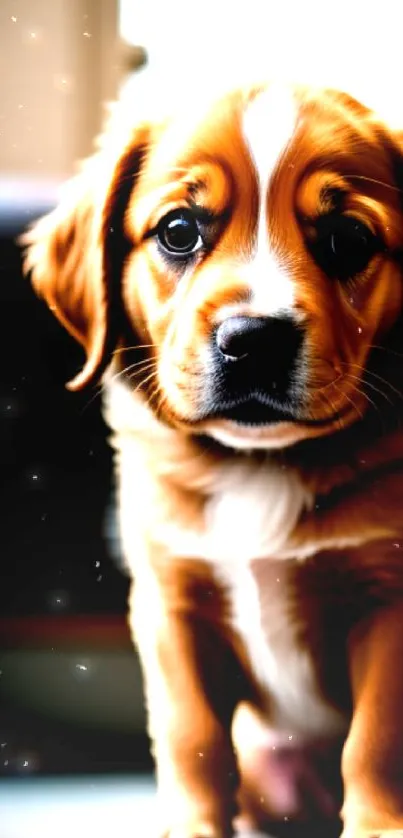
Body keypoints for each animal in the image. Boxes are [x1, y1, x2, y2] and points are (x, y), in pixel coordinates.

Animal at [22, 80, 403, 838]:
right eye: (179, 230)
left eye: (348, 239)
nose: (254, 338)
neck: (258, 466)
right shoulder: (172, 606)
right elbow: (191, 738)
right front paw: (194, 828)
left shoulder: (390, 603)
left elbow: (374, 741)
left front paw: (379, 828)